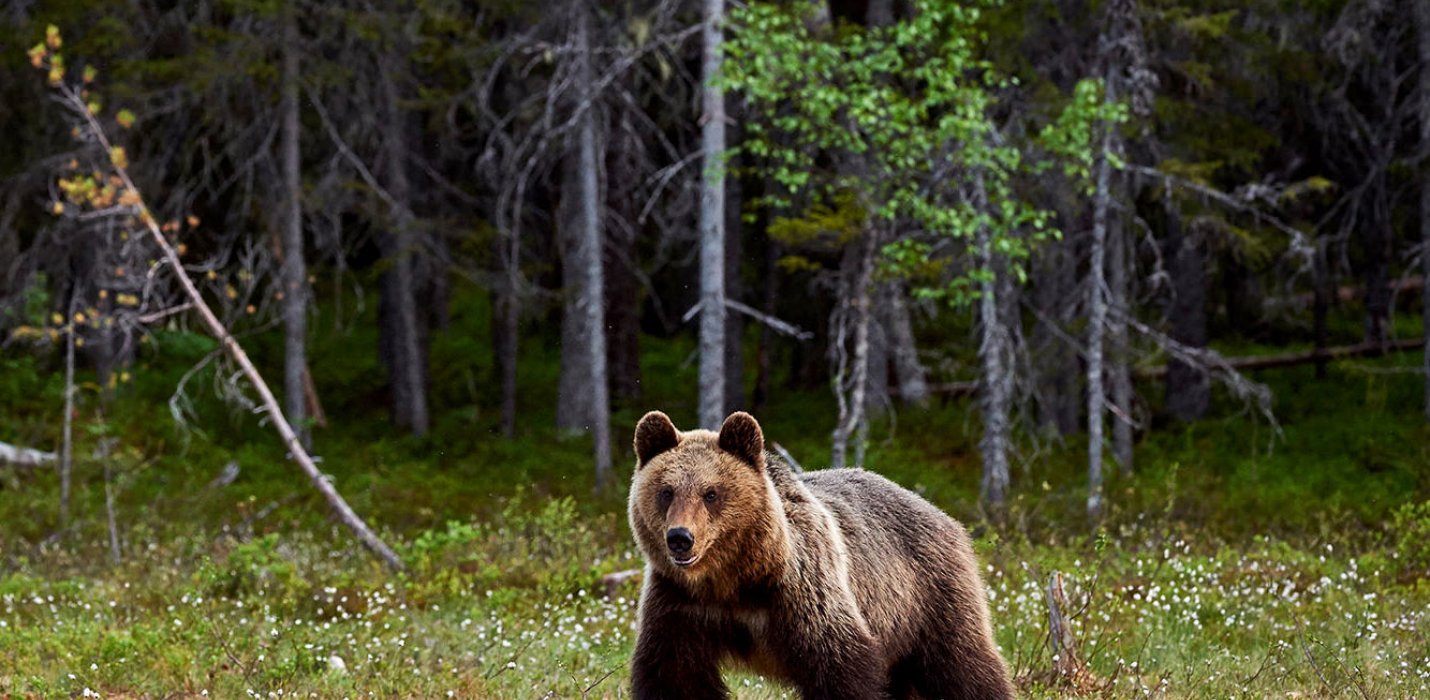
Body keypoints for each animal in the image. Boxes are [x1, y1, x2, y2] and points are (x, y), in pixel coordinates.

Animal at [627, 410, 1015, 700]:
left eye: (711, 493)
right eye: (666, 491)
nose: (680, 538)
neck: (732, 581)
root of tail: (940, 512)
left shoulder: (803, 593)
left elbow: (841, 668)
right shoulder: (681, 605)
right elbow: (675, 676)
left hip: (929, 597)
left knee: (964, 665)